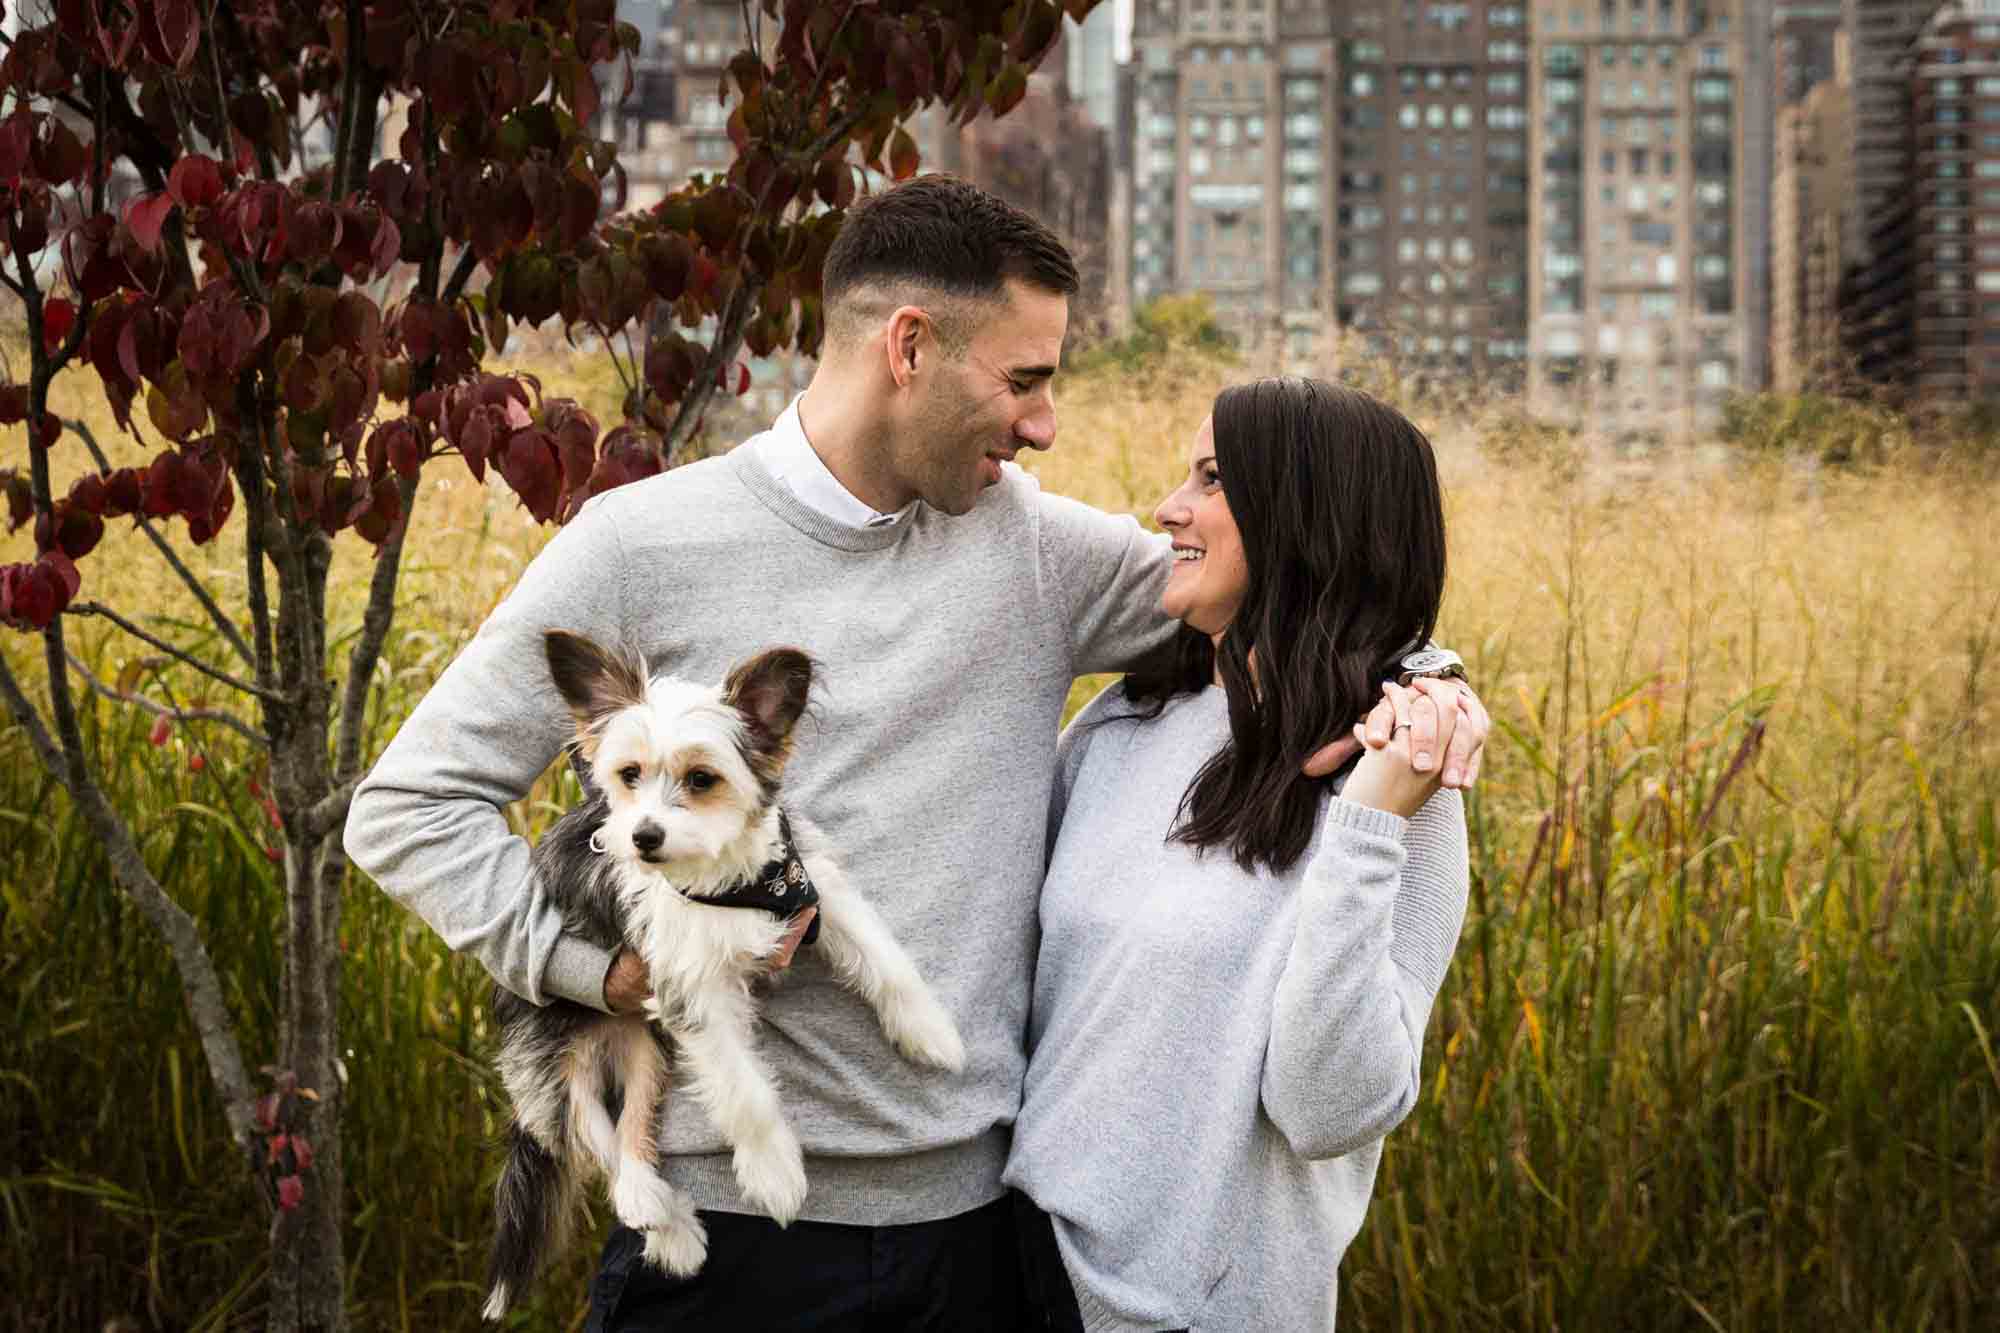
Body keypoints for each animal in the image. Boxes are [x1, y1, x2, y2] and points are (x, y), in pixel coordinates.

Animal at [476, 632, 960, 1320]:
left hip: (648, 1055)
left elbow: (883, 958)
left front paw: (929, 1032)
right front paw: (774, 1173)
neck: (721, 879)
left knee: (634, 1132)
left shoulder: (812, 890)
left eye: (702, 779)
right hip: (551, 1068)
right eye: (628, 775)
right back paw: (660, 1219)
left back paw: (672, 1227)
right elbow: (743, 1090)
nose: (642, 836)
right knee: (597, 1142)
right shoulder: (691, 990)